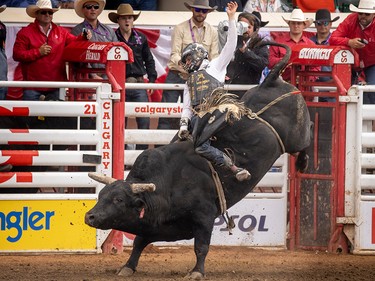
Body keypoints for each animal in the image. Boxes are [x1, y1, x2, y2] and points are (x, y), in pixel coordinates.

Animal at [86, 42, 312, 278]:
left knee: (307, 139)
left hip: (296, 135)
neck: (167, 183)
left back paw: (301, 162)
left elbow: (201, 247)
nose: (89, 216)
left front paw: (196, 271)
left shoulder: (204, 216)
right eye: (101, 195)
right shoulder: (153, 225)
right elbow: (139, 242)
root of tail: (271, 80)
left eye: (118, 200)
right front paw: (128, 267)